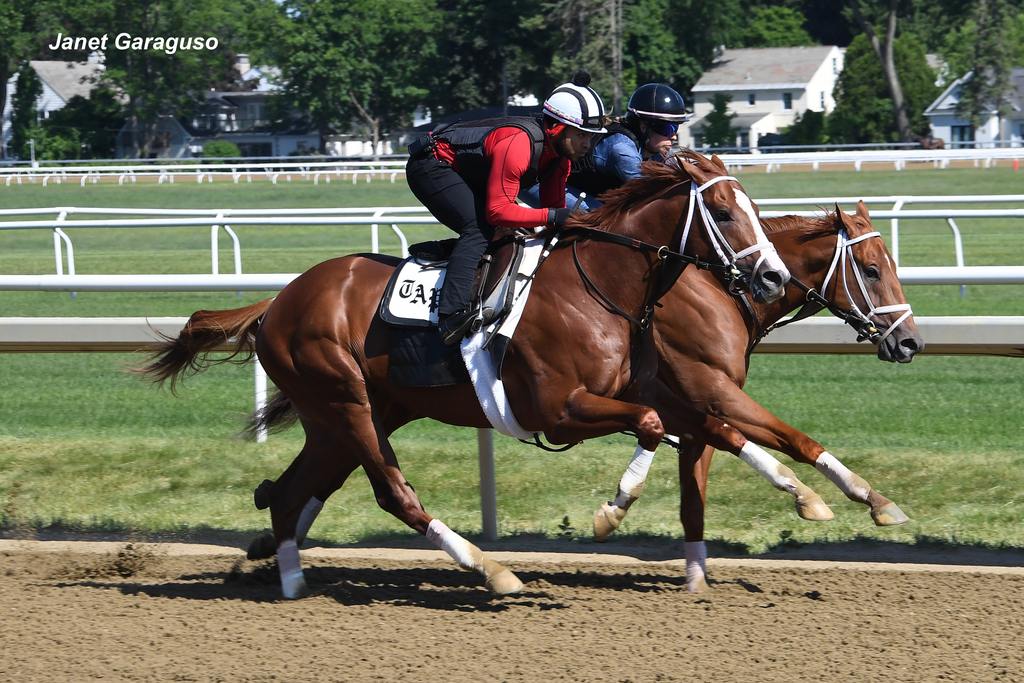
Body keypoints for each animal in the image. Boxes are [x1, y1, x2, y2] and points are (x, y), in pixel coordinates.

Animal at [138, 150, 790, 598]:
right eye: (725, 212)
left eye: (758, 211)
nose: (773, 278)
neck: (596, 284)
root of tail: (277, 302)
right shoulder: (558, 408)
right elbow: (654, 425)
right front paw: (613, 509)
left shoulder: (636, 387)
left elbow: (700, 424)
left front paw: (797, 484)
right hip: (345, 401)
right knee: (390, 493)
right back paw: (492, 570)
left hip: (350, 415)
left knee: (290, 491)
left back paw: (293, 582)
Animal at [593, 200, 921, 589]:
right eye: (871, 271)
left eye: (893, 267)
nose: (911, 342)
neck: (722, 292)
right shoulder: (712, 390)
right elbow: (794, 440)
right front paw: (850, 497)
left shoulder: (696, 406)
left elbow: (693, 495)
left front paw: (695, 578)